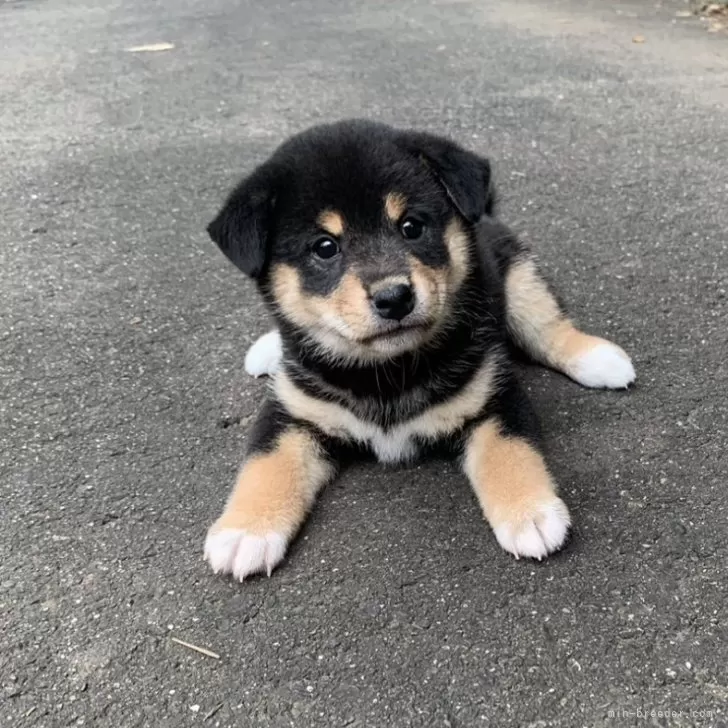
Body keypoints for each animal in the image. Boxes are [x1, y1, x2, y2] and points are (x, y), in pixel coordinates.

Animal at [202, 122, 636, 584]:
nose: (394, 298)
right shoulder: (292, 412)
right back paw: (269, 348)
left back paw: (597, 359)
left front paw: (530, 513)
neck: (386, 372)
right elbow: (266, 463)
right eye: (324, 246)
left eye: (411, 226)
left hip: (520, 280)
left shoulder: (494, 394)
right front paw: (246, 530)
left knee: (549, 327)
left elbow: (510, 451)